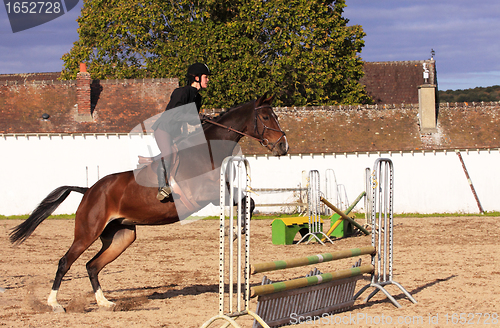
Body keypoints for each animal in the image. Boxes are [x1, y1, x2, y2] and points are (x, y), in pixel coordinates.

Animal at [9, 93, 288, 312]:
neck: (207, 149)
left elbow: (249, 202)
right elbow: (245, 201)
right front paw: (234, 231)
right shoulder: (205, 194)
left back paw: (105, 303)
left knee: (92, 265)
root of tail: (88, 190)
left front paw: (237, 230)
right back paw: (54, 304)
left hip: (121, 236)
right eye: (265, 118)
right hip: (87, 232)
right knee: (65, 262)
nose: (283, 146)